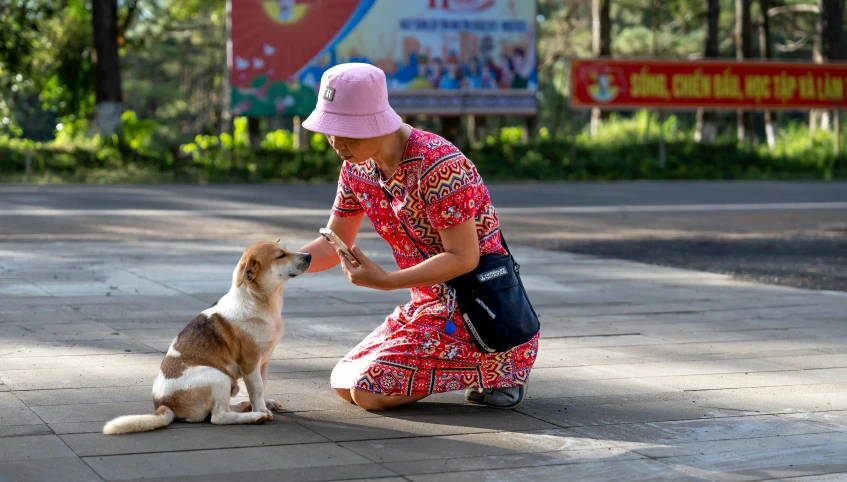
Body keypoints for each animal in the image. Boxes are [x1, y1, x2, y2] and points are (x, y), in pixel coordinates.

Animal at [101, 241, 310, 434]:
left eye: (286, 249)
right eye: (280, 255)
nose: (309, 255)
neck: (258, 301)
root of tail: (163, 406)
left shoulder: (264, 361)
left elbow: (263, 385)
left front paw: (266, 403)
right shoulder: (250, 364)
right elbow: (257, 389)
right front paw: (263, 409)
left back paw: (245, 406)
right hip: (218, 377)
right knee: (218, 417)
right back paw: (255, 416)